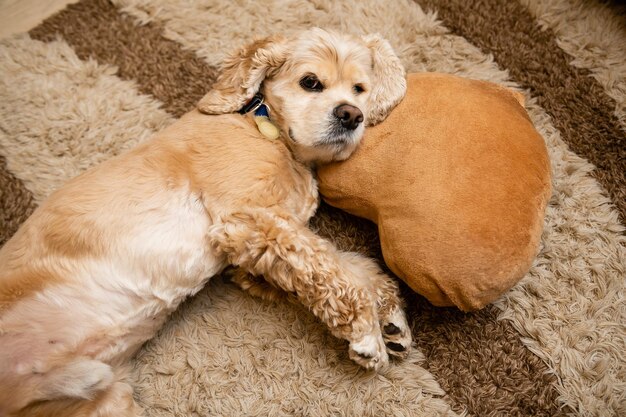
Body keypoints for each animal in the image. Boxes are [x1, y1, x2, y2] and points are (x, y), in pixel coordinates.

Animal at [0, 27, 408, 414]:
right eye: (310, 82)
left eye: (359, 89)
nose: (351, 115)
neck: (264, 125)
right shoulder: (246, 219)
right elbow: (331, 269)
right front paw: (366, 331)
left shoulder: (254, 252)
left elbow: (343, 263)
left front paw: (390, 316)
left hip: (102, 402)